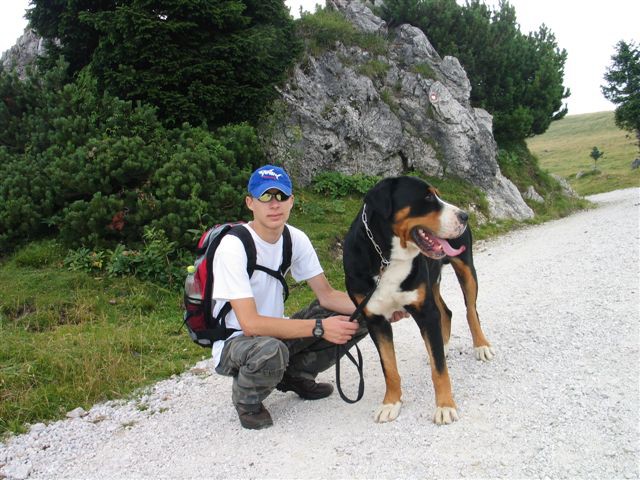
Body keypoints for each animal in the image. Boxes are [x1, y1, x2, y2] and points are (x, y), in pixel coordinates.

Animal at [340, 176, 496, 424]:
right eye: (428, 197)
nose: (464, 215)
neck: (387, 258)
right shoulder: (375, 320)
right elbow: (389, 368)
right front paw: (390, 403)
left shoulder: (425, 312)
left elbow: (439, 370)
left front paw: (444, 406)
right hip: (432, 283)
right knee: (446, 312)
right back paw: (444, 345)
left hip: (465, 268)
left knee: (470, 310)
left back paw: (481, 345)